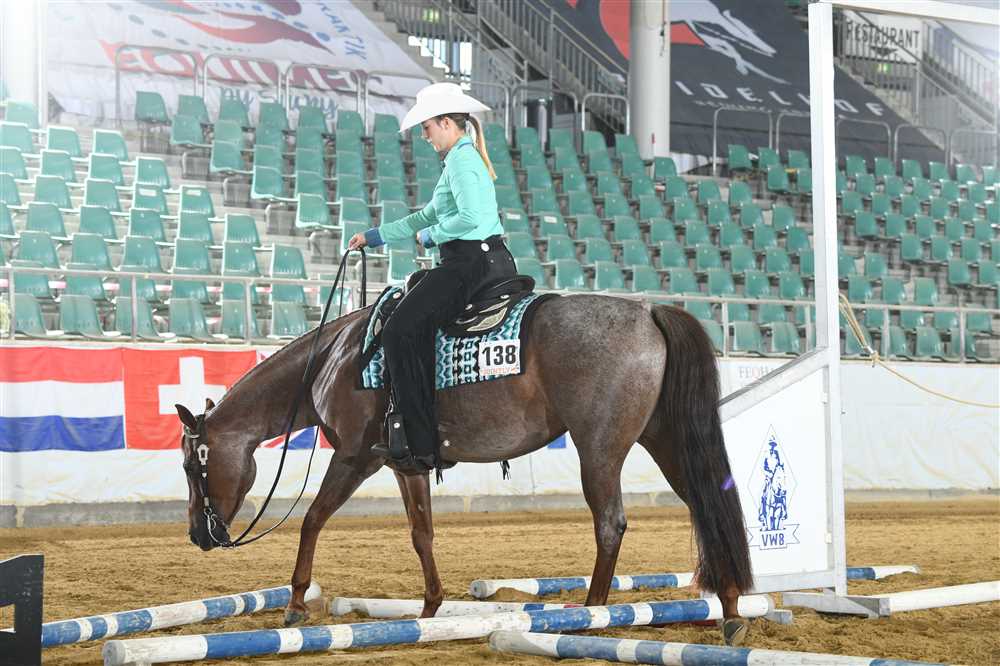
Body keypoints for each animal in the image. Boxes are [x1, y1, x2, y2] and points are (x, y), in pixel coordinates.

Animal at [174, 295, 755, 645]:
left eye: (191, 466)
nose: (198, 534)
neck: (336, 359)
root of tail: (649, 312)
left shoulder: (355, 457)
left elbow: (313, 519)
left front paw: (295, 602)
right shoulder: (404, 464)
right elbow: (422, 533)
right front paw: (430, 609)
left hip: (600, 449)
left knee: (610, 524)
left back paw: (587, 617)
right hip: (665, 440)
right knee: (708, 504)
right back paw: (729, 610)